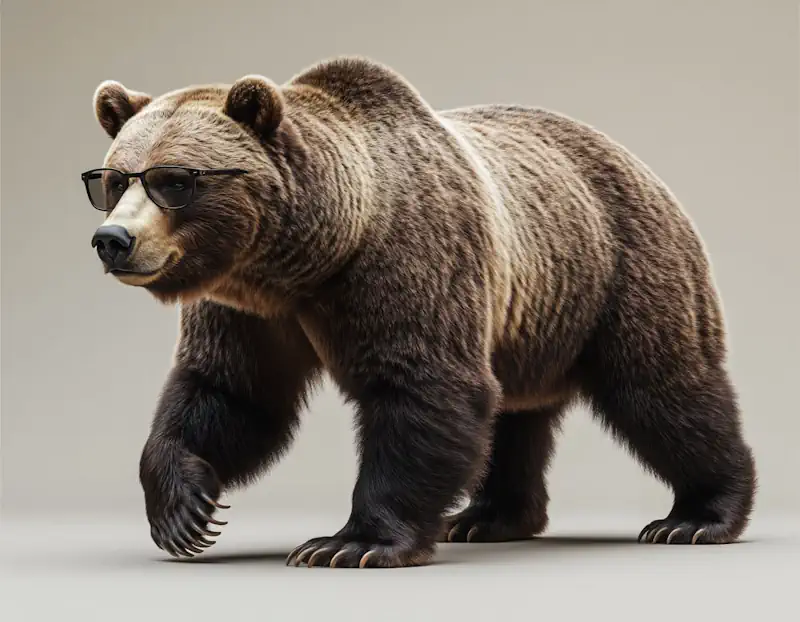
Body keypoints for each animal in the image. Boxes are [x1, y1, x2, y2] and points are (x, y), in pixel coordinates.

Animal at [84, 55, 756, 568]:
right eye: (113, 180)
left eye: (175, 180)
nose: (113, 240)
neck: (311, 259)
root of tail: (636, 162)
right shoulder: (247, 309)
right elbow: (230, 393)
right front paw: (185, 512)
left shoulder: (410, 260)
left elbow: (423, 390)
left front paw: (349, 543)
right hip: (529, 319)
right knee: (513, 416)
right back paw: (487, 517)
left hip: (621, 265)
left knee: (661, 388)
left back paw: (697, 517)